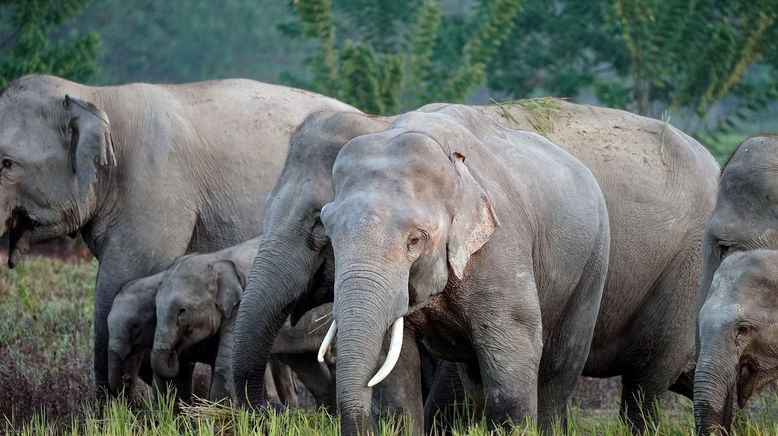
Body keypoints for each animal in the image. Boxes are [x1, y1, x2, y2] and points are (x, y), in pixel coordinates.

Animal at [233, 100, 720, 430]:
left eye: (316, 227)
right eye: (329, 228)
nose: (268, 414)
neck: (389, 120)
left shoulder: (502, 249)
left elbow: (508, 364)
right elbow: (399, 381)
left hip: (647, 269)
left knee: (625, 380)